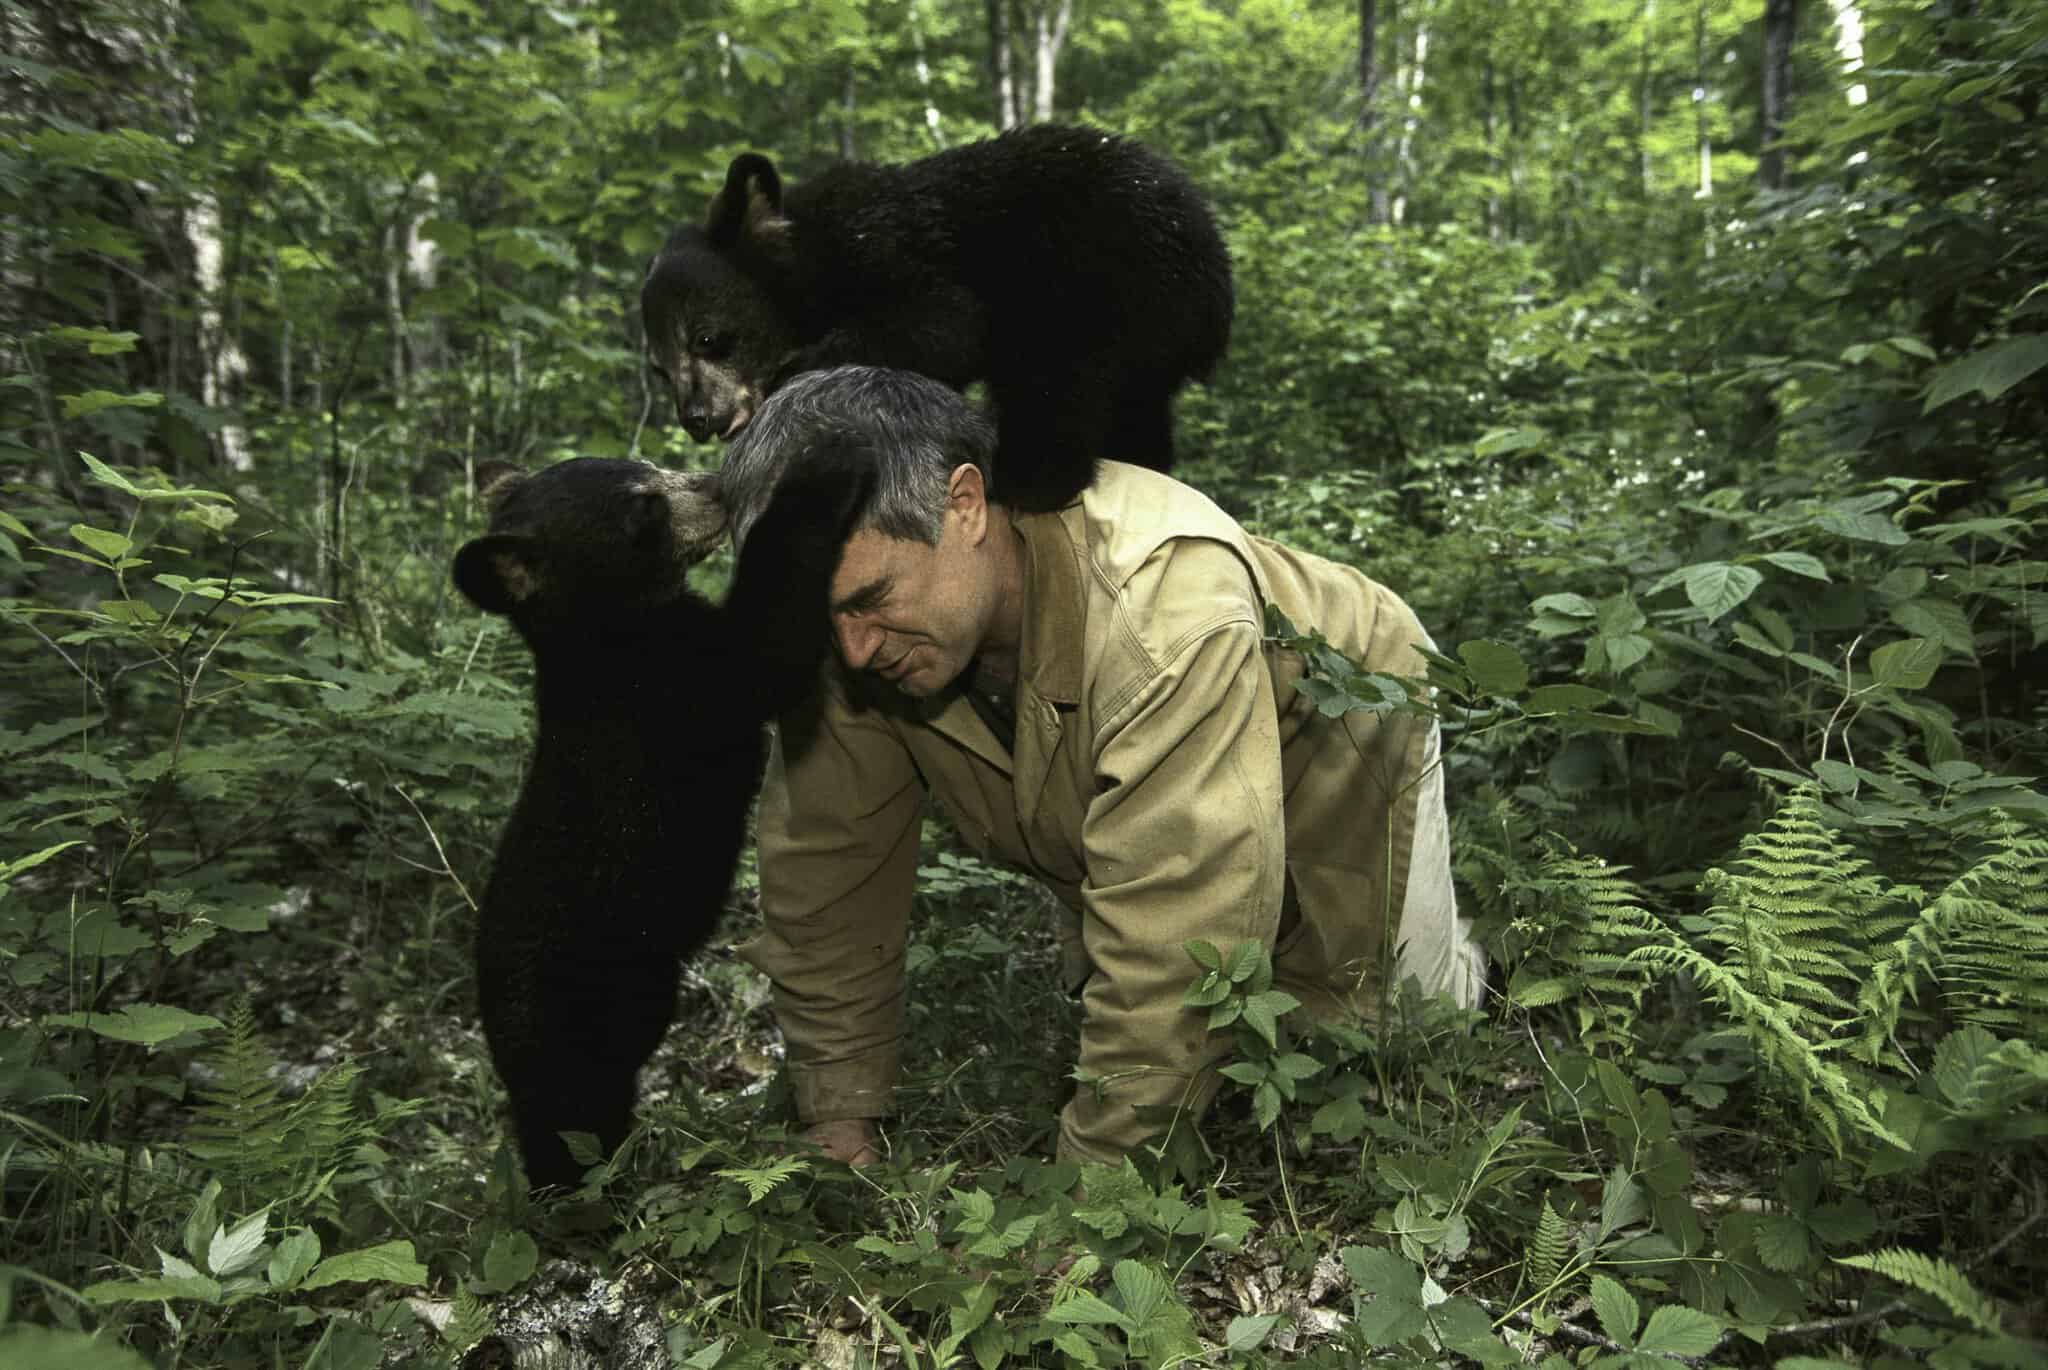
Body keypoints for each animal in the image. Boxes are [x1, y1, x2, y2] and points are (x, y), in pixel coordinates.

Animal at [453, 447, 870, 1192]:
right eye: (642, 506)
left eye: (641, 462)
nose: (716, 486)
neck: (614, 636)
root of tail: (488, 1022)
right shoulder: (671, 695)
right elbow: (764, 648)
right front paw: (820, 467)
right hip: (566, 1023)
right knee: (571, 1128)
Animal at [639, 123, 1233, 513]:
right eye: (660, 370)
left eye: (708, 338)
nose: (697, 418)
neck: (813, 261)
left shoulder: (886, 246)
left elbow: (946, 319)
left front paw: (797, 370)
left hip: (1092, 286)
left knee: (1053, 382)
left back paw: (1025, 480)